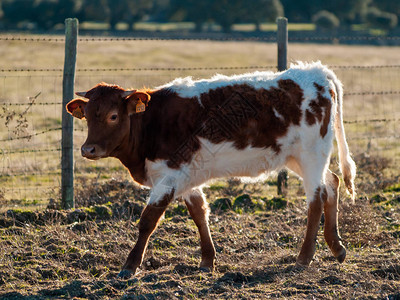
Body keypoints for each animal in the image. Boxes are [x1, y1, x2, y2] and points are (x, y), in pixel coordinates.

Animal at [66, 61, 356, 278]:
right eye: (87, 116)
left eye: (113, 116)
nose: (88, 149)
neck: (152, 122)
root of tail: (316, 71)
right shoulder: (186, 176)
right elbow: (199, 214)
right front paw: (207, 260)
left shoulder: (169, 176)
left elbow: (148, 220)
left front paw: (129, 266)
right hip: (299, 158)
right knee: (332, 183)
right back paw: (337, 247)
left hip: (311, 154)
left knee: (316, 199)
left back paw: (304, 257)